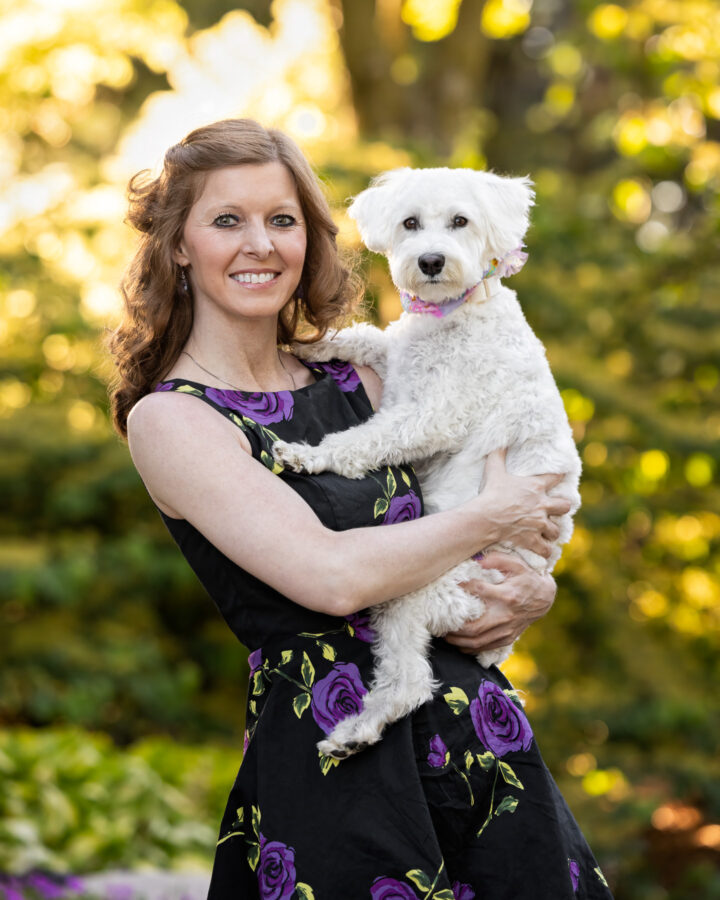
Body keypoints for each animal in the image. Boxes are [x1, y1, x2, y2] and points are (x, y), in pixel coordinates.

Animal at [272, 165, 584, 756]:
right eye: (410, 223)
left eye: (461, 221)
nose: (431, 261)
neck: (454, 314)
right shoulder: (394, 358)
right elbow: (363, 337)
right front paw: (306, 342)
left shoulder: (433, 413)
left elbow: (365, 439)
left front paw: (308, 455)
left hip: (418, 584)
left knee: (412, 682)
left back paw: (356, 732)